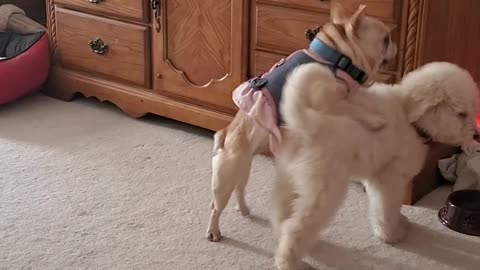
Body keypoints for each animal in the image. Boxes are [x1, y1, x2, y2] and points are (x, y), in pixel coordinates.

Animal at [272, 61, 478, 270]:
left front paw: (400, 222)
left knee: (284, 213)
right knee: (296, 226)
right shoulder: (389, 180)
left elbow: (393, 208)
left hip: (290, 177)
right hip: (324, 189)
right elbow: (387, 210)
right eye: (461, 114)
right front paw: (392, 235)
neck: (410, 119)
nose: (474, 134)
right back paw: (290, 263)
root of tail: (308, 122)